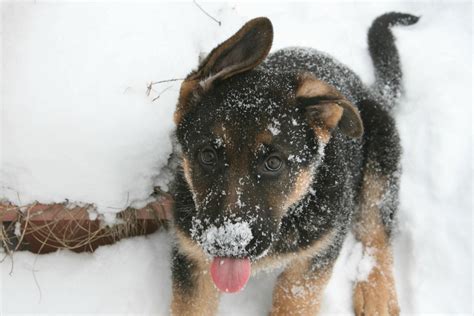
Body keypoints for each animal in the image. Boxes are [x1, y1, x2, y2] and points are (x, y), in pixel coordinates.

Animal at [170, 12, 418, 316]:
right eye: (207, 156)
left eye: (273, 163)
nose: (228, 243)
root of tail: (369, 91)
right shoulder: (193, 260)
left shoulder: (313, 260)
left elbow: (294, 300)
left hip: (380, 167)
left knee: (376, 233)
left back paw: (377, 293)